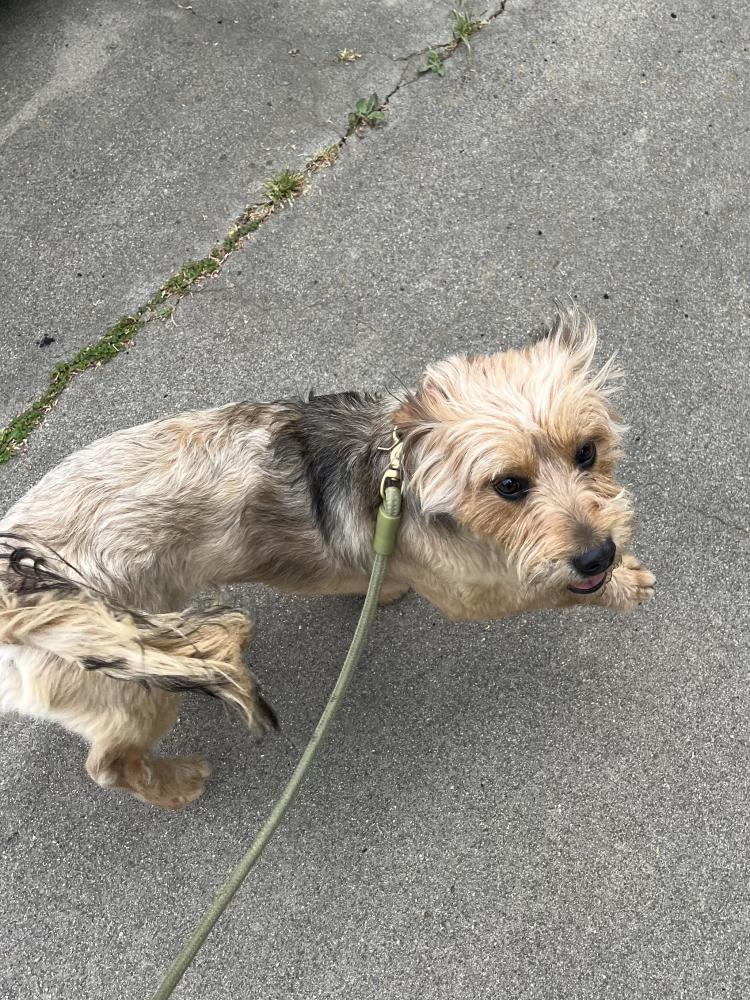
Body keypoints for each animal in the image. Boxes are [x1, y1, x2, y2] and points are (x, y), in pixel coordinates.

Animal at [0, 307, 654, 808]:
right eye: (509, 485)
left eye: (588, 452)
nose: (598, 554)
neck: (402, 470)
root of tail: (17, 587)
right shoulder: (469, 590)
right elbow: (535, 586)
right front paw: (623, 585)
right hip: (131, 685)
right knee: (110, 763)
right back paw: (173, 784)